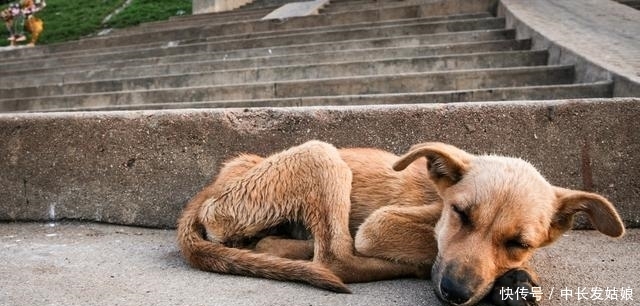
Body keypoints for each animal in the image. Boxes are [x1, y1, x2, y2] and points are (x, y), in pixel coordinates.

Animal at [178, 140, 624, 304]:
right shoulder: (381, 224)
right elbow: (427, 245)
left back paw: (281, 245)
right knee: (337, 258)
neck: (437, 197)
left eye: (519, 242)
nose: (455, 293)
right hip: (321, 154)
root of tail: (209, 190)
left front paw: (514, 276)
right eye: (460, 214)